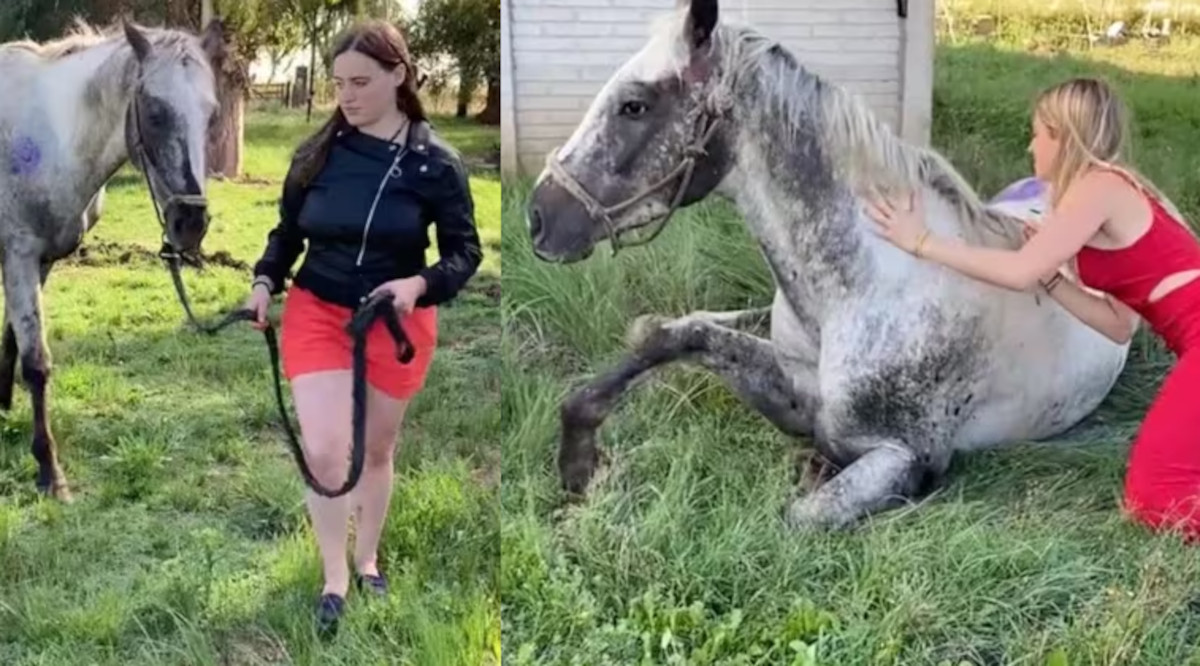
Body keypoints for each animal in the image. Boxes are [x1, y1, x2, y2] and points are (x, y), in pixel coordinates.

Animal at [0, 18, 220, 501]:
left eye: (212, 114)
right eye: (154, 112)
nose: (190, 223)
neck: (55, 136)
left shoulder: (38, 262)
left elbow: (12, 341)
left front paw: (2, 408)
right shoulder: (19, 255)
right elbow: (37, 363)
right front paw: (50, 472)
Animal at [525, 0, 1132, 530]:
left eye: (635, 105)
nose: (538, 219)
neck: (862, 291)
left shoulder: (902, 460)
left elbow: (797, 518)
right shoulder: (794, 397)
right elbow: (674, 336)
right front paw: (580, 465)